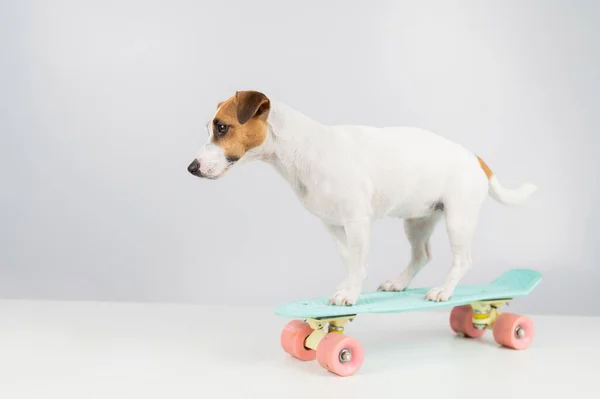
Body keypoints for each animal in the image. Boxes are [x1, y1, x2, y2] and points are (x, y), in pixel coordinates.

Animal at [185, 91, 536, 306]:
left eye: (222, 127)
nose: (191, 168)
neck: (302, 149)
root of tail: (475, 158)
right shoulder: (333, 225)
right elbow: (349, 261)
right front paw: (346, 287)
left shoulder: (357, 223)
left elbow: (358, 262)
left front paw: (349, 295)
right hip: (417, 220)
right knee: (421, 254)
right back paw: (399, 283)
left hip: (458, 220)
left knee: (462, 260)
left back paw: (443, 291)